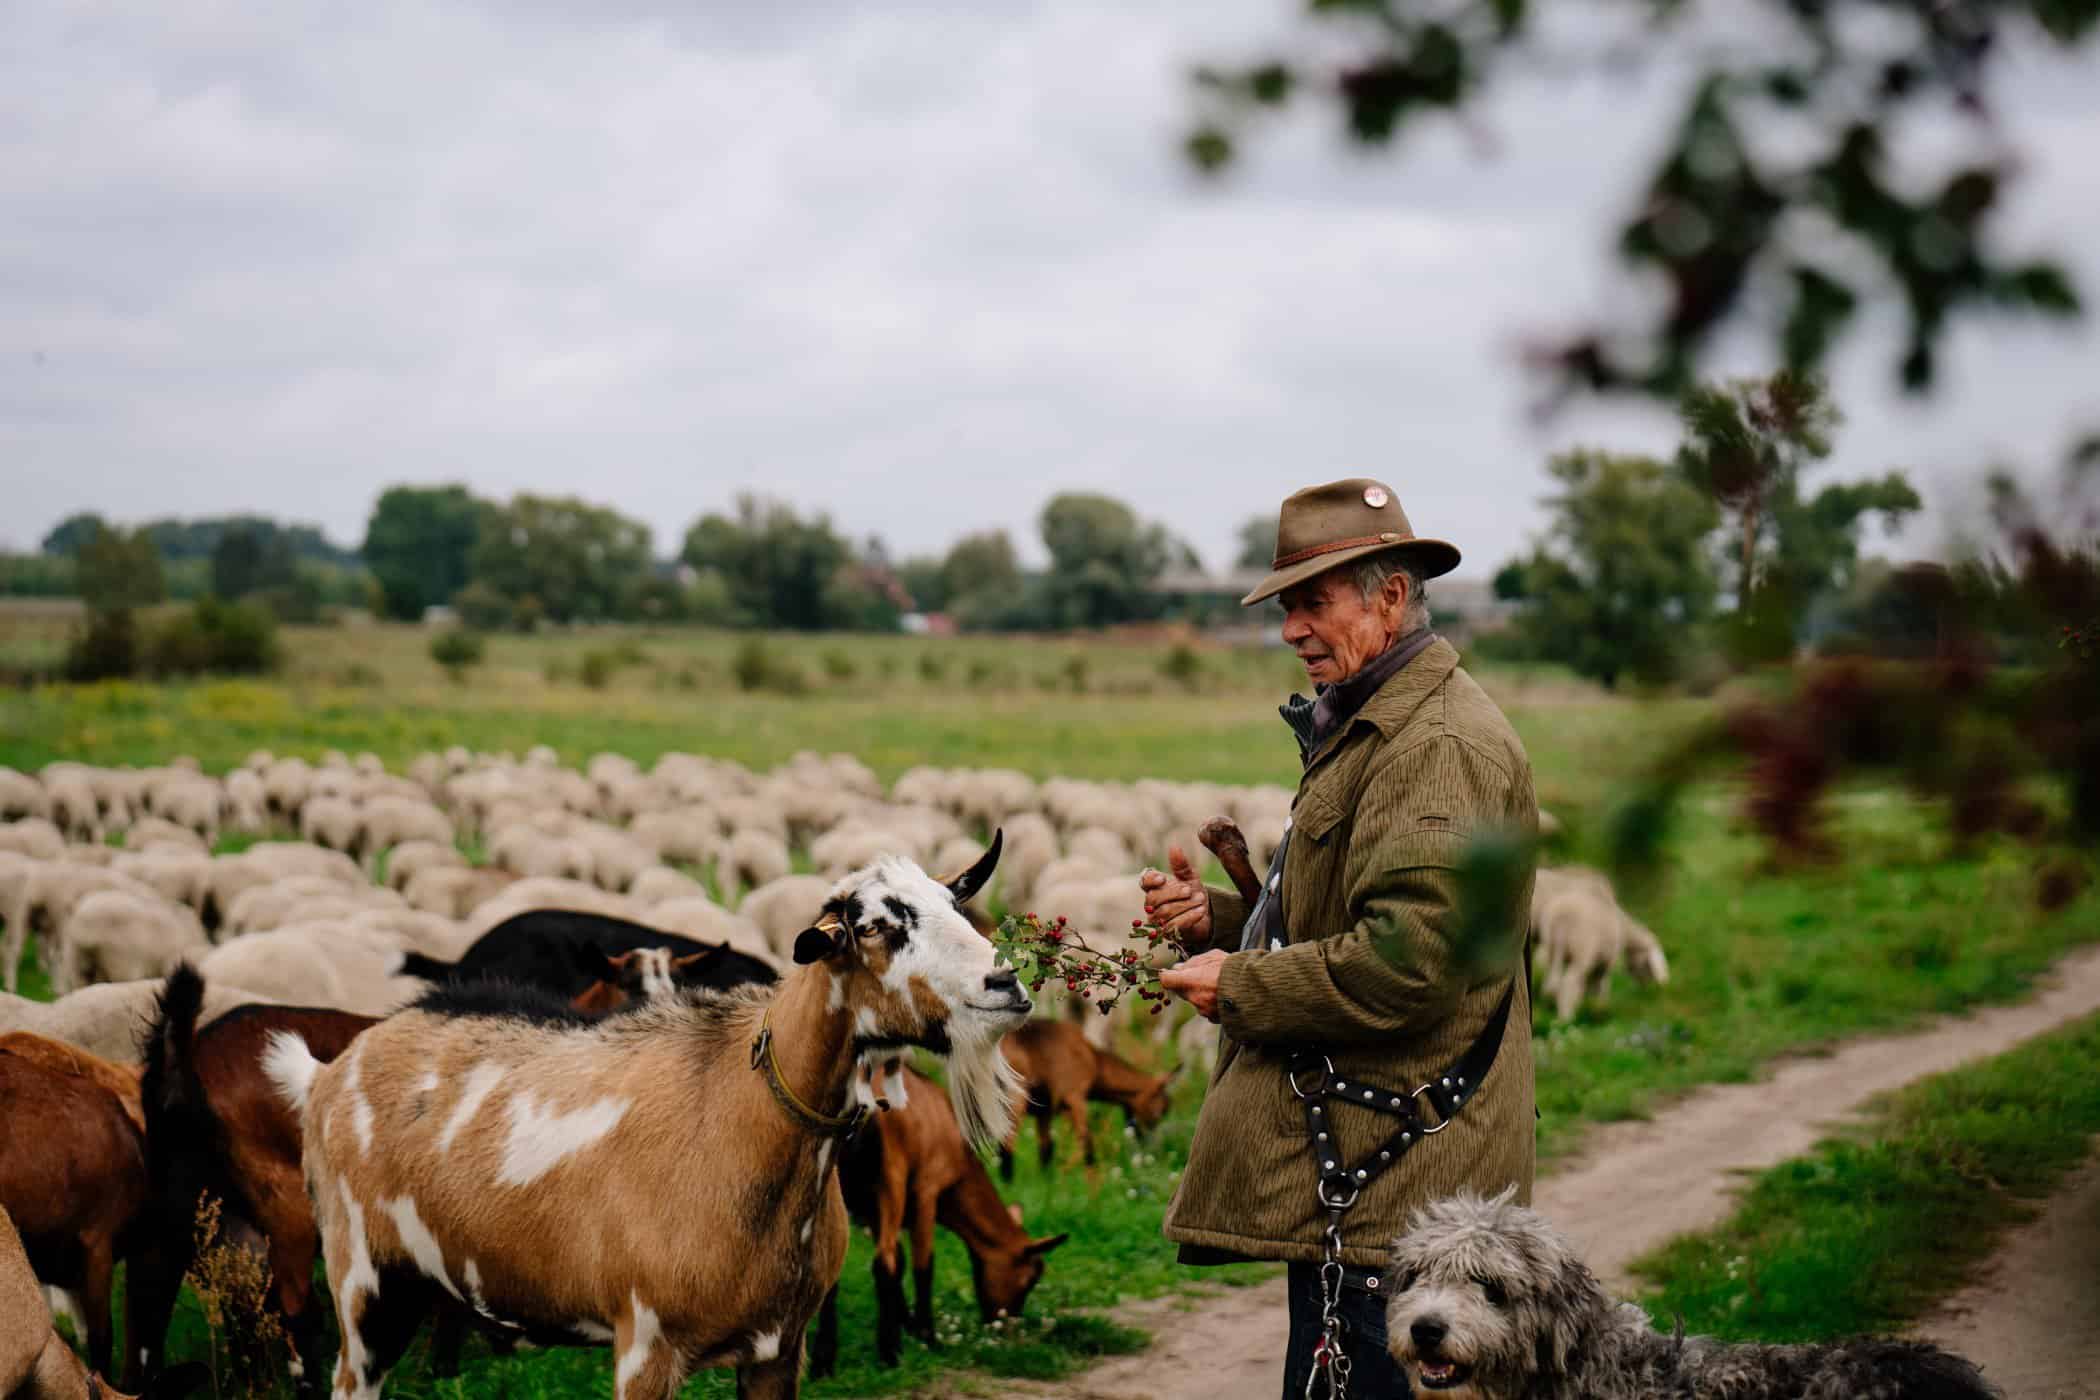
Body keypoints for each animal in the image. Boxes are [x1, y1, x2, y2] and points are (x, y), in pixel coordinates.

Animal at [275, 843, 1029, 1400]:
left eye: (956, 906)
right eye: (874, 926)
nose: (1007, 984)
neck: (736, 1111)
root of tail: (328, 1071)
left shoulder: (778, 1350)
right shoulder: (645, 1344)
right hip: (363, 1285)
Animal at [802, 1066, 1066, 1376]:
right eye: (1030, 1278)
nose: (1005, 1326)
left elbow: (901, 1262)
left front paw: (908, 1322)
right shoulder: (926, 1189)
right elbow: (921, 1264)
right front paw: (926, 1334)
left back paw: (823, 1361)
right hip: (890, 1178)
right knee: (884, 1260)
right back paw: (889, 1352)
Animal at [991, 1020, 1176, 1183]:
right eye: (1160, 1111)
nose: (1148, 1144)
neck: (1094, 1059)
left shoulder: (1045, 1110)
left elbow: (1046, 1148)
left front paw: (1046, 1184)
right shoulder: (1075, 1097)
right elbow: (1087, 1142)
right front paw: (1092, 1188)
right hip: (1015, 1097)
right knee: (1007, 1142)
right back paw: (1008, 1185)